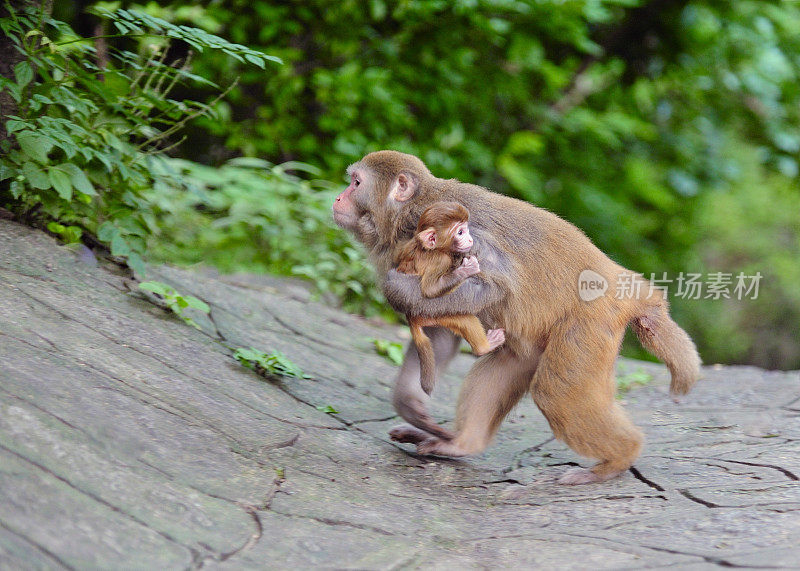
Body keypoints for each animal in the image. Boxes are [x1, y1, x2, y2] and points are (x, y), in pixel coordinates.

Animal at [396, 203, 506, 400]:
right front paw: (467, 269)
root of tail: (411, 318)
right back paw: (484, 347)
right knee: (466, 320)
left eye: (466, 229)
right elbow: (430, 290)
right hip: (438, 315)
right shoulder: (440, 260)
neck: (435, 249)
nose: (470, 238)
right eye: (460, 232)